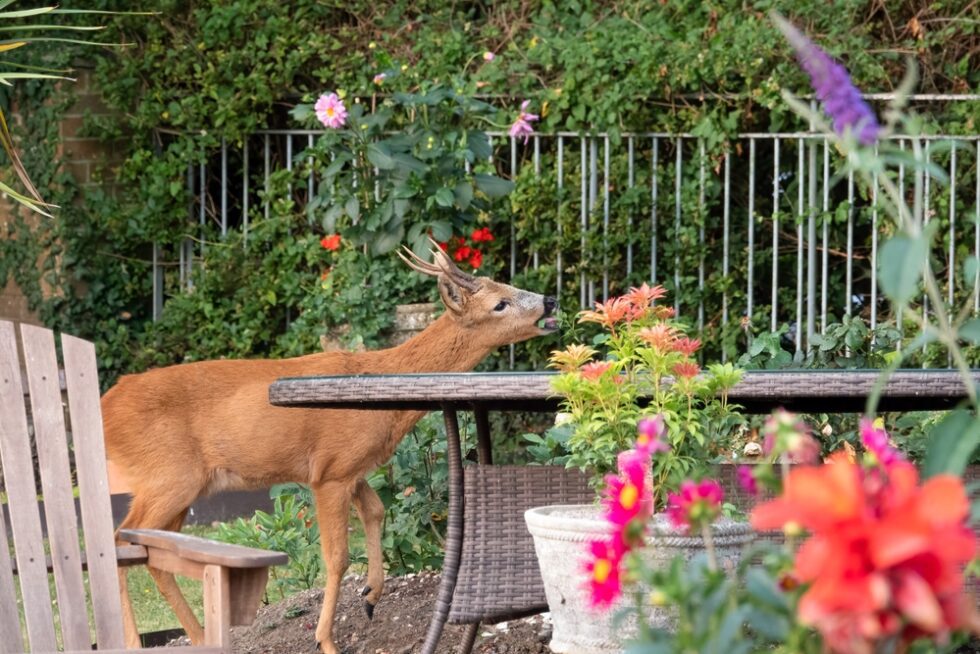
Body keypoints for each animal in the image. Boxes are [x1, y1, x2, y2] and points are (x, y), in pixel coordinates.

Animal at [101, 243, 558, 654]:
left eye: (508, 284)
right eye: (500, 303)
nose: (550, 299)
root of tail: (105, 405)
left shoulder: (351, 468)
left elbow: (376, 510)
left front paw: (372, 596)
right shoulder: (330, 472)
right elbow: (337, 556)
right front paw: (326, 640)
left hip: (184, 486)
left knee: (153, 550)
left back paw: (197, 637)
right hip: (168, 475)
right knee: (122, 537)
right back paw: (133, 642)